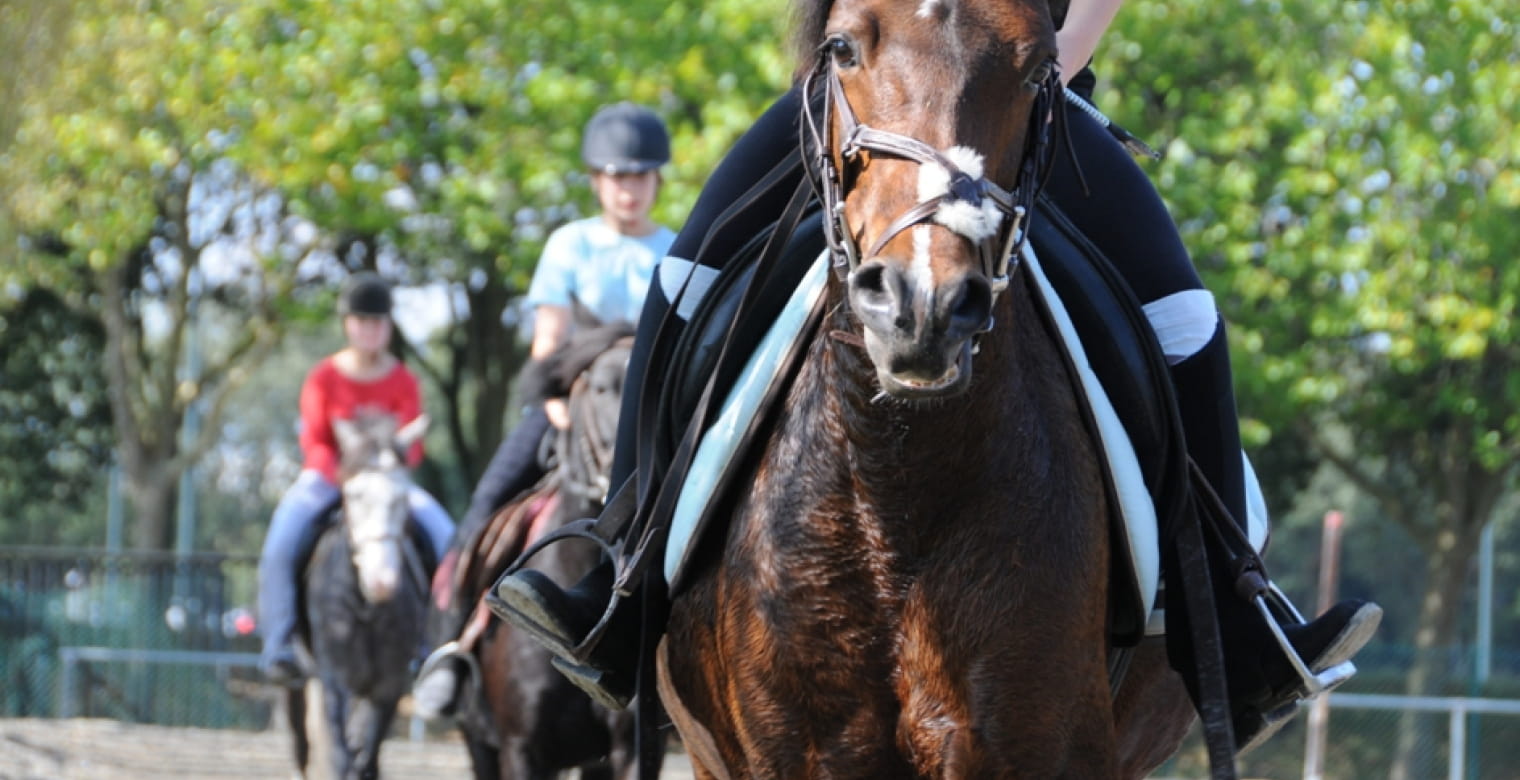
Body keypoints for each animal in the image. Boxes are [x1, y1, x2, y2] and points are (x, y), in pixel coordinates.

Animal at [287, 410, 431, 778]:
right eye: (353, 495)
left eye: (403, 497)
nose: (382, 581)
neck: (366, 608)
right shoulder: (337, 684)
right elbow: (341, 757)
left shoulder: (387, 687)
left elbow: (366, 758)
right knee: (304, 748)